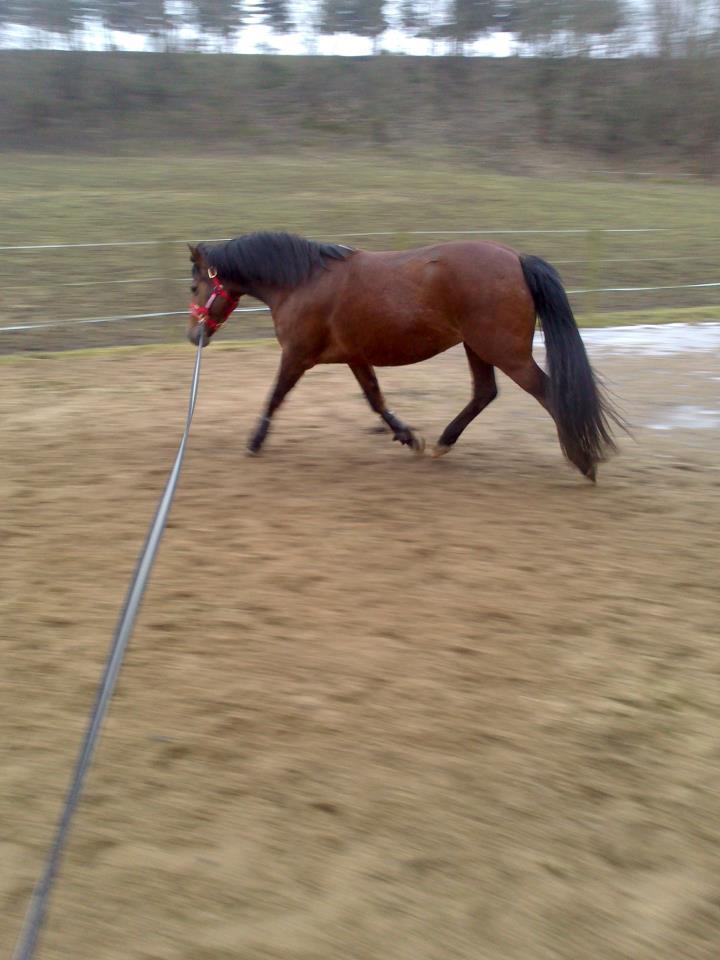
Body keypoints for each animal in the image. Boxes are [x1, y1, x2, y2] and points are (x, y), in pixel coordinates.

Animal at [188, 232, 620, 480]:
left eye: (194, 286)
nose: (194, 335)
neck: (303, 281)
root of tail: (516, 258)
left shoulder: (297, 355)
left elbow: (275, 396)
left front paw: (254, 441)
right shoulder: (354, 356)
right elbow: (376, 400)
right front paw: (409, 437)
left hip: (505, 352)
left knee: (549, 393)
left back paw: (583, 460)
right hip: (478, 347)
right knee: (484, 393)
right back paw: (442, 443)